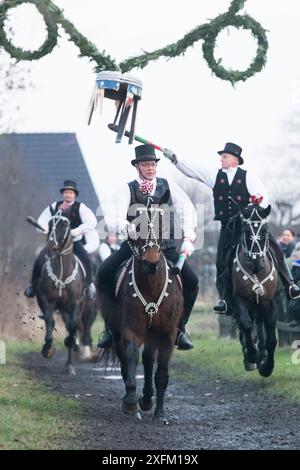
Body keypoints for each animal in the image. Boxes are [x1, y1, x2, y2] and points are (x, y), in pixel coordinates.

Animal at [35, 211, 96, 376]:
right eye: (50, 224)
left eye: (64, 225)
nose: (51, 248)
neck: (62, 271)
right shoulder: (45, 300)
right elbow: (50, 321)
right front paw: (48, 349)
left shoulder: (74, 304)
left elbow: (73, 326)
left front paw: (70, 364)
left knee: (76, 326)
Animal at [232, 203, 278, 378]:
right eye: (245, 230)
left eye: (265, 230)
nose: (256, 260)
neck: (257, 272)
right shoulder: (240, 300)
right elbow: (246, 325)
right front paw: (252, 355)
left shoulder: (270, 303)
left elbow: (271, 340)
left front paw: (267, 367)